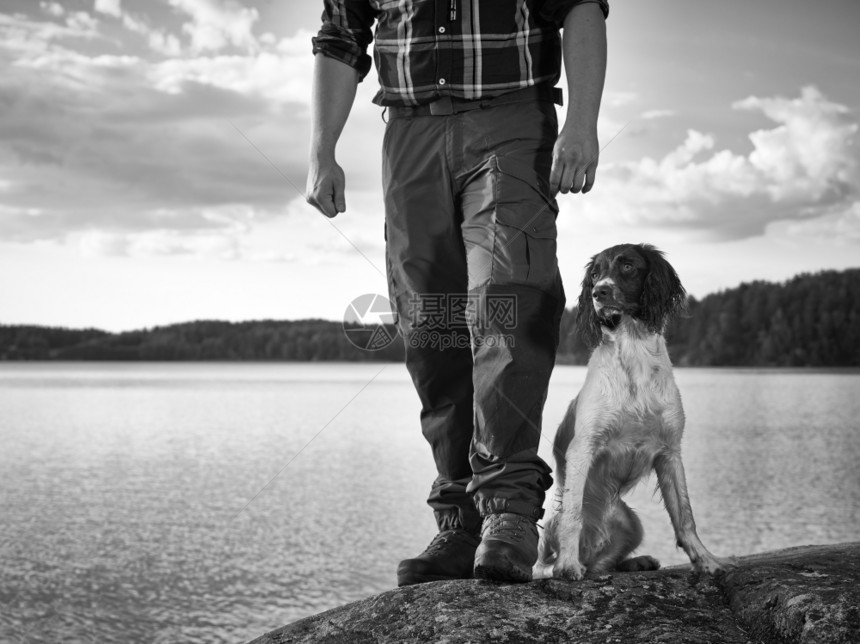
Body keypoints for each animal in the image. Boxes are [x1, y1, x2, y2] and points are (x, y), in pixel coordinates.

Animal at [536, 244, 724, 580]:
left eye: (627, 266)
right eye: (594, 274)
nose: (599, 292)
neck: (634, 352)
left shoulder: (670, 452)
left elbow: (685, 517)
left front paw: (704, 559)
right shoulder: (582, 448)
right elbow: (573, 516)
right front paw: (567, 565)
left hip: (631, 522)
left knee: (601, 564)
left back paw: (637, 562)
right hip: (549, 522)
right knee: (544, 561)